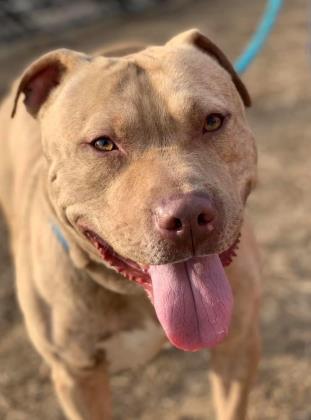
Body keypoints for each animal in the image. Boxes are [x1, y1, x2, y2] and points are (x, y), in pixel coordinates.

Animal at [0, 30, 262, 420]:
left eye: (213, 121)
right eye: (103, 144)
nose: (188, 216)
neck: (136, 293)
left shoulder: (238, 343)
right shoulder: (78, 379)